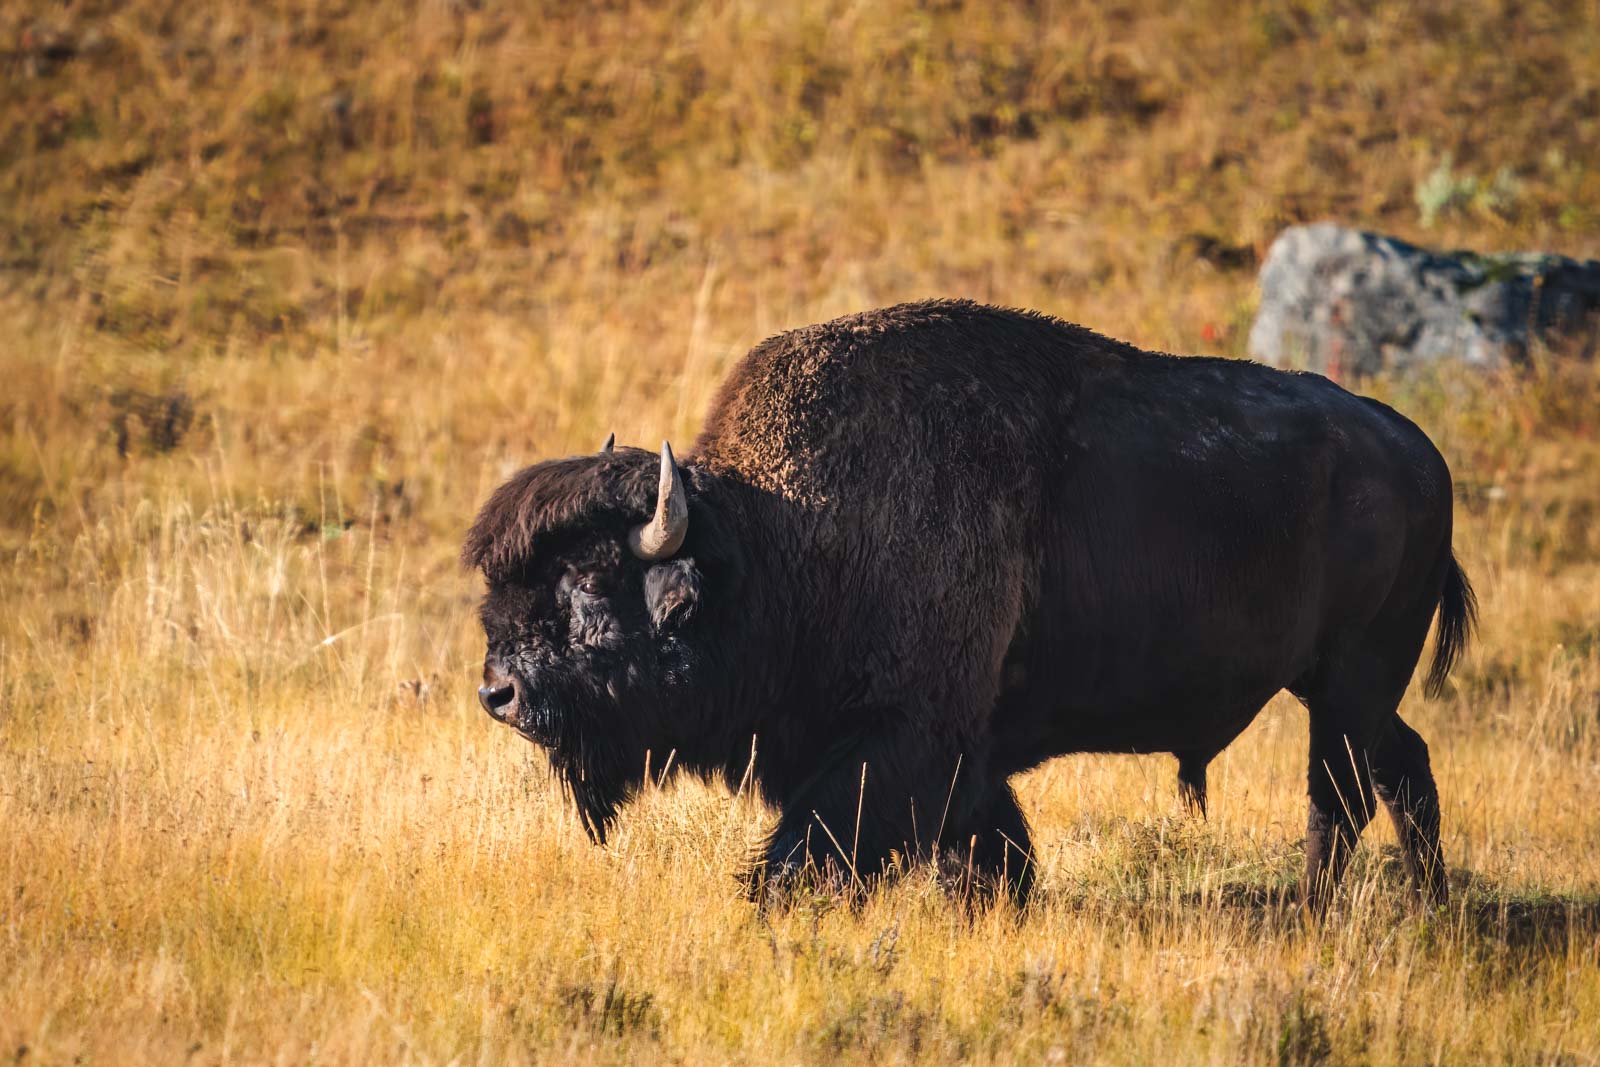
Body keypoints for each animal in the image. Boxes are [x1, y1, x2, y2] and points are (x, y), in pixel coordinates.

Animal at [464, 299, 1472, 908]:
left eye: (592, 583)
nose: (498, 692)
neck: (781, 541)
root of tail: (1421, 452)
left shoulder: (899, 744)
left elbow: (815, 851)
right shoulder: (950, 757)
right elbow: (988, 848)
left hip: (1348, 684)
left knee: (1341, 794)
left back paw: (1318, 907)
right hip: (1345, 690)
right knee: (1402, 768)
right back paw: (1425, 899)